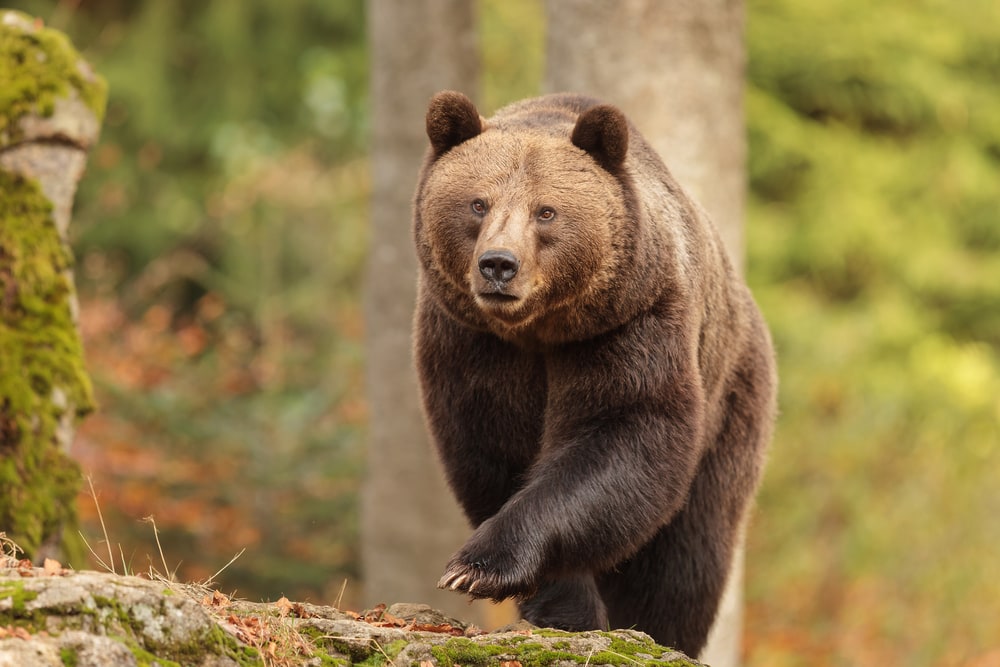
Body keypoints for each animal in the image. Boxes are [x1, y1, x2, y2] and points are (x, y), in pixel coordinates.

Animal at [411, 90, 777, 658]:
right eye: (477, 203)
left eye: (546, 211)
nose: (498, 265)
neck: (538, 331)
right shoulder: (472, 343)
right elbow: (494, 452)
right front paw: (559, 606)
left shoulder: (629, 324)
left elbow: (625, 434)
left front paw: (479, 566)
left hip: (732, 400)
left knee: (687, 556)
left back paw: (664, 632)